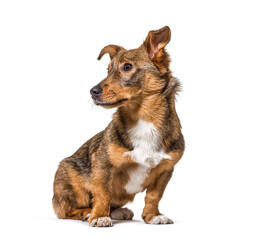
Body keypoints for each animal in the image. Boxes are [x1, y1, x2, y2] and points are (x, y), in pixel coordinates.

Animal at [52, 26, 186, 227]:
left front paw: (152, 216)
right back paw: (87, 212)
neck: (144, 118)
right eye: (108, 70)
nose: (92, 91)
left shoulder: (165, 170)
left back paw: (118, 212)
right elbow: (103, 193)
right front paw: (99, 216)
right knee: (67, 210)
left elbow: (154, 196)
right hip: (72, 180)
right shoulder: (102, 164)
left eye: (127, 67)